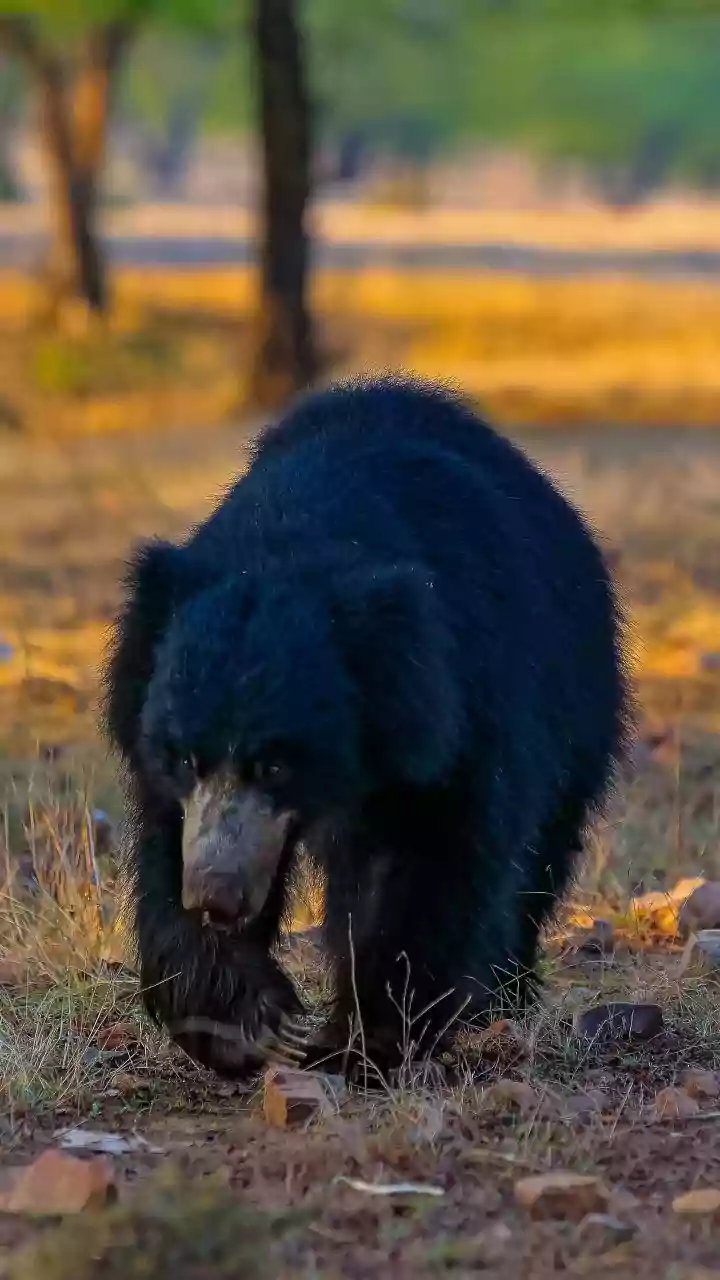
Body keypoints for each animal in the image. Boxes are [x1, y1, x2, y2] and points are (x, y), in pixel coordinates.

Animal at [103, 375, 628, 1080]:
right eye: (184, 758)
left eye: (277, 764)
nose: (216, 896)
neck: (298, 537)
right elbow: (166, 849)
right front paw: (247, 1021)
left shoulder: (460, 705)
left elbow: (424, 858)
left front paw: (359, 1043)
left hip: (581, 700)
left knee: (539, 853)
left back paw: (500, 995)